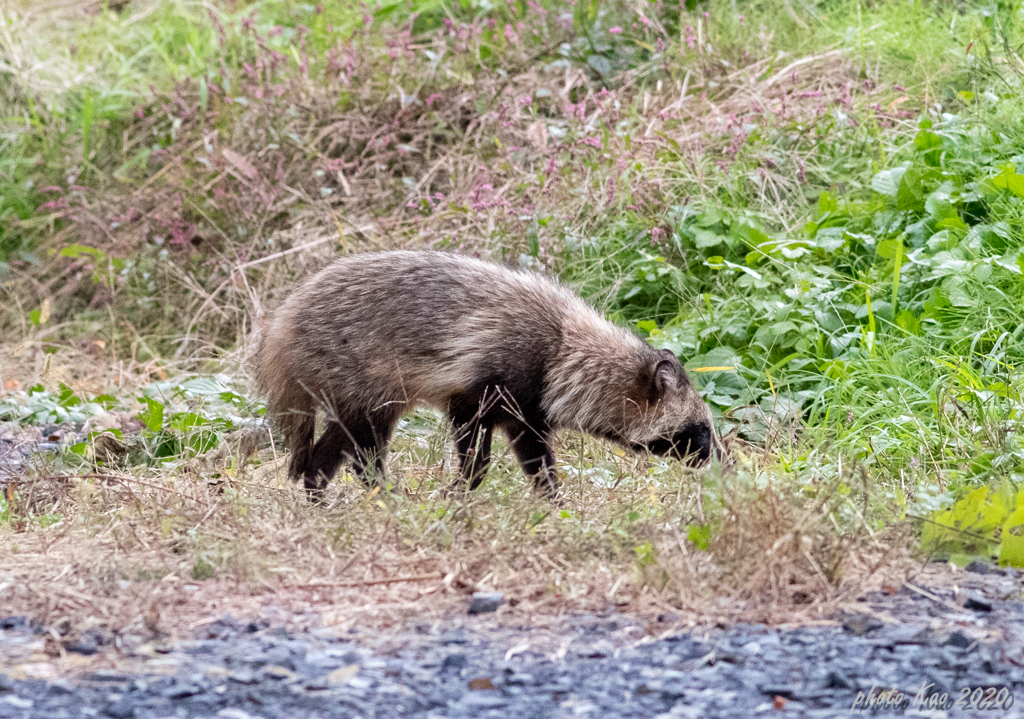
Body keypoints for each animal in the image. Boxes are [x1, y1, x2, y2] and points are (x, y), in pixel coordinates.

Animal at [253, 251, 720, 501]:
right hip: (359, 374)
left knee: (334, 447)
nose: (721, 463)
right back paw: (376, 493)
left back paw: (323, 492)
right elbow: (476, 454)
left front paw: (554, 503)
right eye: (700, 429)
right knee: (363, 449)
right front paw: (459, 493)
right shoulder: (486, 382)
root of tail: (282, 324)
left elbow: (537, 459)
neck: (565, 346)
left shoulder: (527, 410)